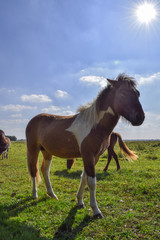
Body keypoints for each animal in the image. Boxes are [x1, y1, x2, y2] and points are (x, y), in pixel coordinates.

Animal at [25, 73, 144, 218]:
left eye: (137, 93)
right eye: (122, 93)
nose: (140, 118)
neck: (94, 126)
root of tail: (33, 119)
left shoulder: (94, 157)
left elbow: (84, 178)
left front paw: (80, 202)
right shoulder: (88, 155)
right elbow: (91, 182)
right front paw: (96, 210)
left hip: (47, 152)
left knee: (44, 170)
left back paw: (52, 194)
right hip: (33, 149)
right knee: (34, 170)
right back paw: (34, 194)